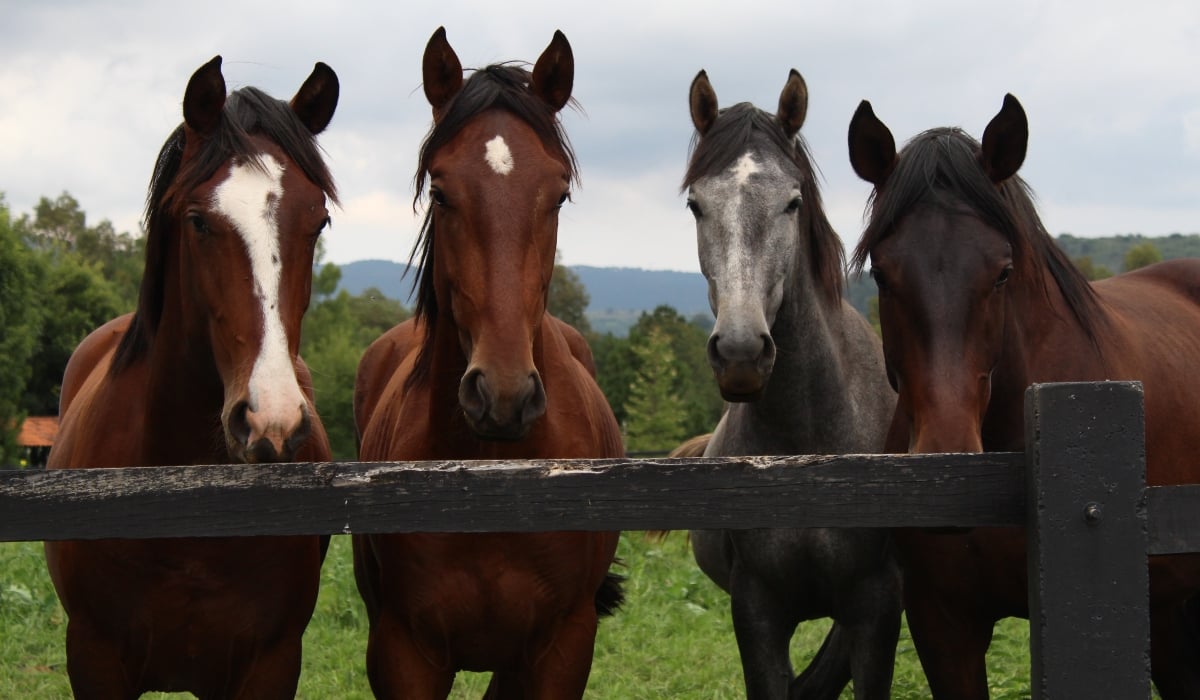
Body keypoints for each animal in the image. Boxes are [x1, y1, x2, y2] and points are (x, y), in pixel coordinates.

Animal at [350, 25, 624, 696]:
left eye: (559, 193)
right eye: (441, 191)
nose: (502, 395)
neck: (491, 481)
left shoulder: (562, 648)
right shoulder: (403, 651)